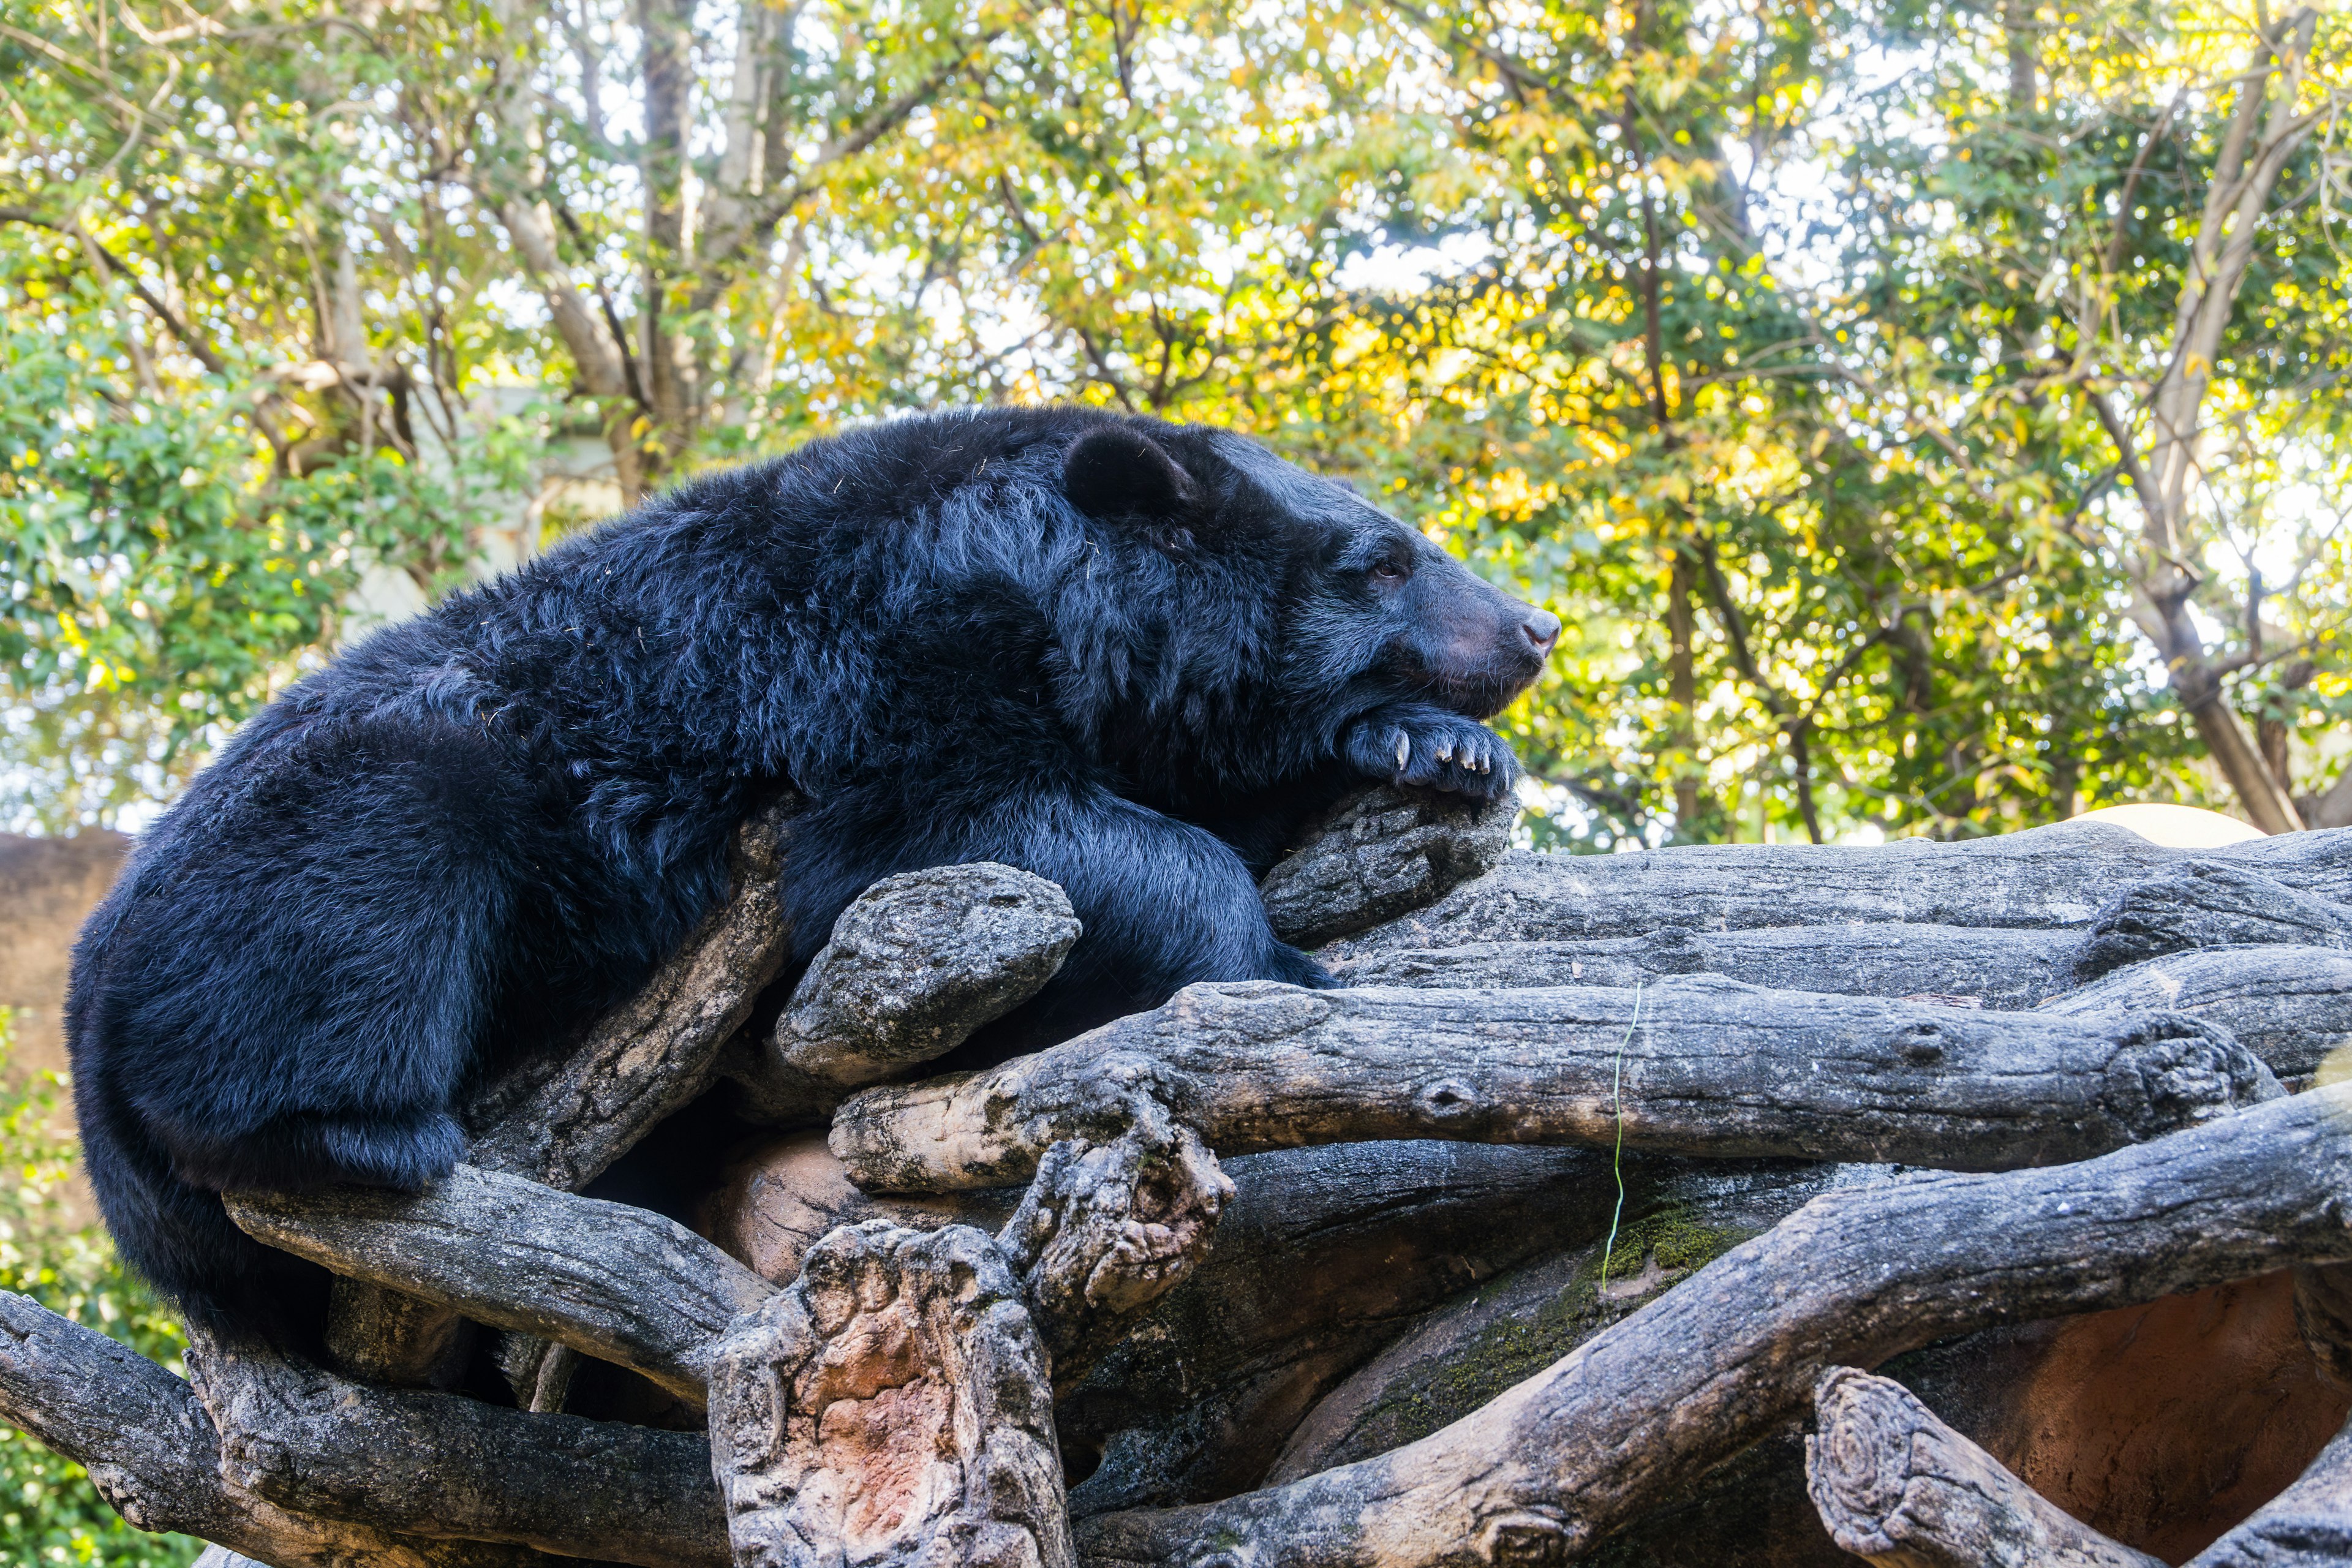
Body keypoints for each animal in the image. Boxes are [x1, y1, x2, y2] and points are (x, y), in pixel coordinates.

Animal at [64, 409, 1552, 1335]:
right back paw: (353, 1128)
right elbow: (968, 832)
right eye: (1385, 559)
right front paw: (1272, 959)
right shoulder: (875, 665)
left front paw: (1435, 746)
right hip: (346, 823)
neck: (1049, 577)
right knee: (368, 875)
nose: (1534, 627)